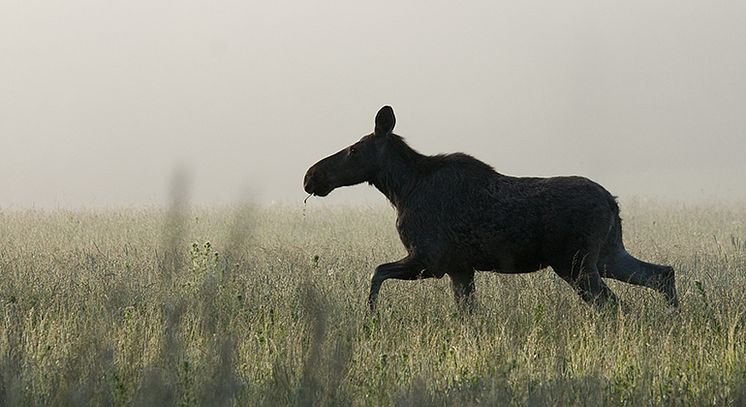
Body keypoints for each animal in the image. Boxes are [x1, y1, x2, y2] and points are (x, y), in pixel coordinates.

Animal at [304, 105, 680, 312]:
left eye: (353, 150)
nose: (311, 176)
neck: (401, 189)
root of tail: (613, 203)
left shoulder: (430, 259)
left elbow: (376, 272)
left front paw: (370, 316)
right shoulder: (460, 268)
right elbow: (466, 314)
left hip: (576, 264)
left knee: (617, 306)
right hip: (607, 254)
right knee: (662, 274)